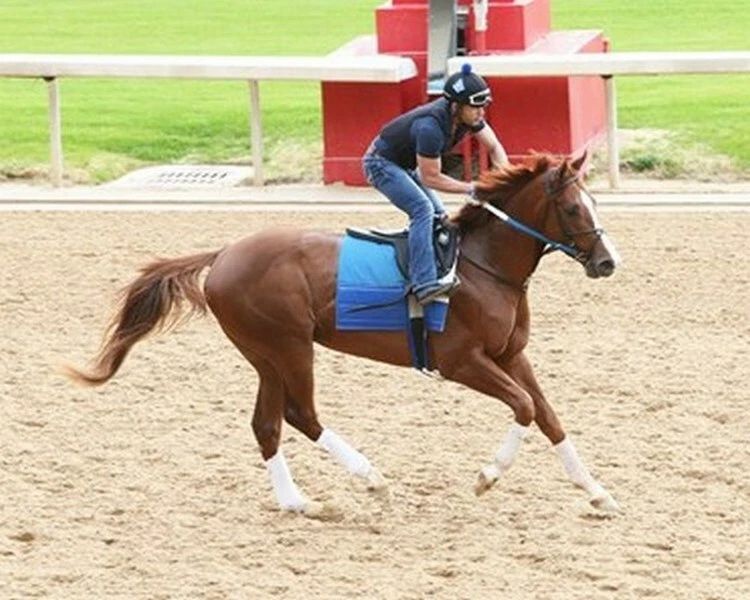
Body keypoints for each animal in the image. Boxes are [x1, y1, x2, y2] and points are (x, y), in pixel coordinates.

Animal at [67, 153, 622, 517]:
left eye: (594, 201)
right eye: (574, 209)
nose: (607, 262)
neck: (482, 266)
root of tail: (223, 255)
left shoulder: (511, 354)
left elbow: (548, 416)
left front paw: (597, 490)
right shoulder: (462, 361)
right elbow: (524, 408)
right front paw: (487, 476)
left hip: (266, 355)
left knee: (267, 423)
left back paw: (298, 503)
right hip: (288, 345)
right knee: (301, 414)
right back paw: (371, 479)